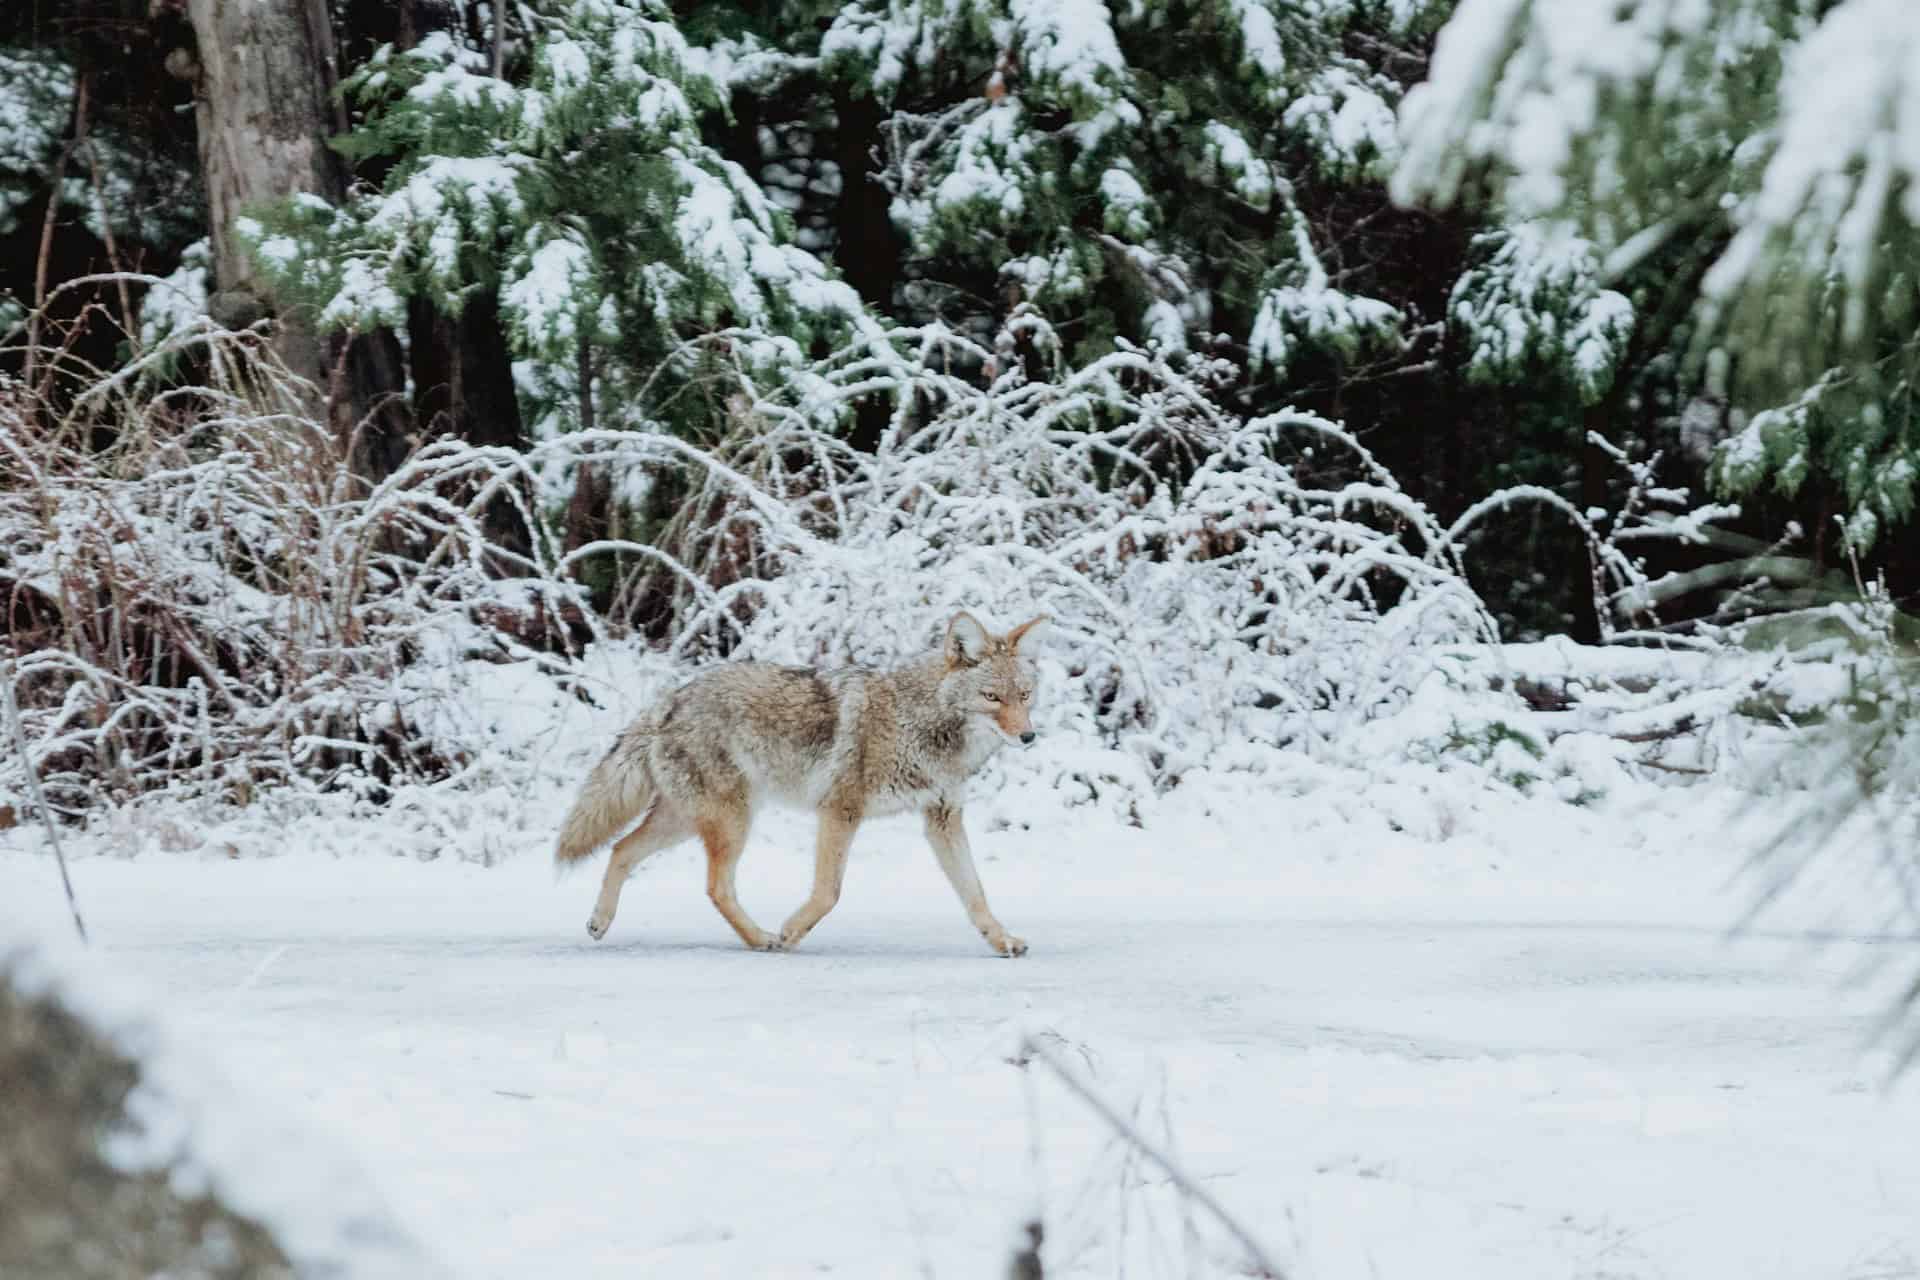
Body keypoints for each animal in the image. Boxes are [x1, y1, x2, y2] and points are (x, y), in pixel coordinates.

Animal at [552, 611, 1049, 956]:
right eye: (991, 697)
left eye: (1024, 696)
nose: (1028, 736)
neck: (920, 723)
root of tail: (668, 701)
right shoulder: (840, 811)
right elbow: (828, 892)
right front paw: (792, 932)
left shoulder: (942, 819)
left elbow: (976, 894)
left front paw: (1002, 941)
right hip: (731, 822)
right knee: (715, 887)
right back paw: (762, 939)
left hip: (686, 822)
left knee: (620, 850)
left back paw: (600, 922)